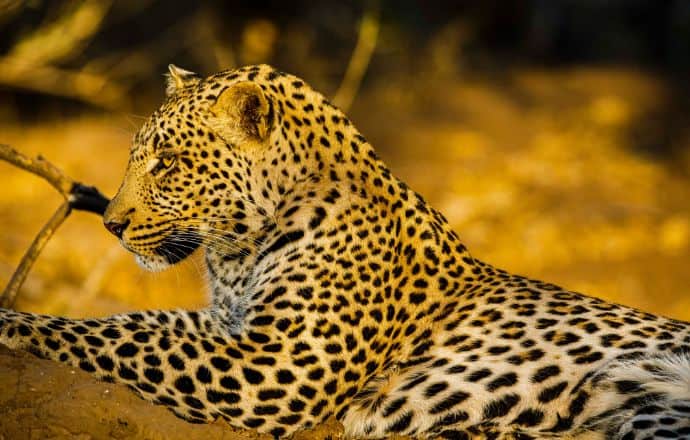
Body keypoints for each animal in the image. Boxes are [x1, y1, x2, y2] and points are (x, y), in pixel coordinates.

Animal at [1, 63, 688, 438]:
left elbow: (124, 340)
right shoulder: (229, 325)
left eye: (166, 162)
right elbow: (129, 323)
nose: (111, 224)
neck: (237, 253)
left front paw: (12, 325)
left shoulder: (276, 366)